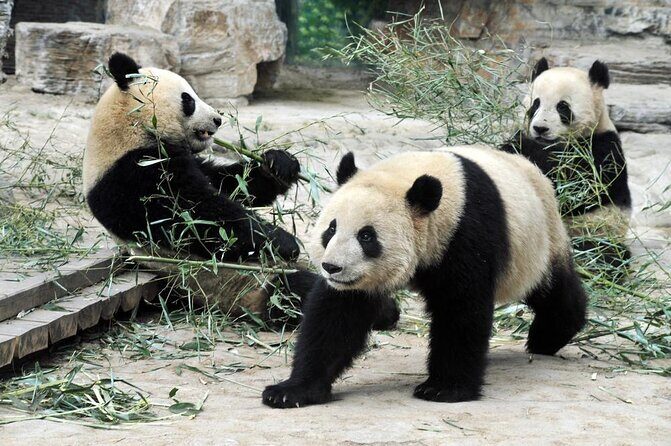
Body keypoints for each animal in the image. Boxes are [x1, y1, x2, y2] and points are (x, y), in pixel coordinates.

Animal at [83, 52, 318, 314]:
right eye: (188, 100)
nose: (218, 119)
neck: (129, 129)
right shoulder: (132, 176)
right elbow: (198, 218)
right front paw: (284, 241)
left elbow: (230, 184)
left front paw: (279, 164)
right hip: (243, 283)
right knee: (299, 291)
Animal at [262, 147, 587, 408]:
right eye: (331, 229)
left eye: (367, 236)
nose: (332, 267)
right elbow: (336, 317)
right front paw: (291, 391)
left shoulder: (465, 233)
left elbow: (460, 311)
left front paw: (444, 389)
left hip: (537, 242)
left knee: (552, 288)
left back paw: (549, 335)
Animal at [501, 58, 632, 264]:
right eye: (535, 104)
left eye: (562, 106)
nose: (540, 129)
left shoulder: (602, 148)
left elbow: (579, 187)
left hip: (597, 232)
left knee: (604, 254)